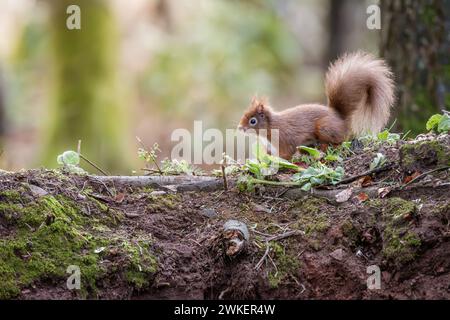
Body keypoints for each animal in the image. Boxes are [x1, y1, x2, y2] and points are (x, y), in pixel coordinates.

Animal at [237, 52, 396, 160]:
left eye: (252, 121)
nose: (239, 128)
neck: (270, 127)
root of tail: (341, 118)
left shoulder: (285, 139)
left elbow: (286, 154)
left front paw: (280, 160)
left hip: (324, 127)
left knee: (339, 141)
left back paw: (324, 148)